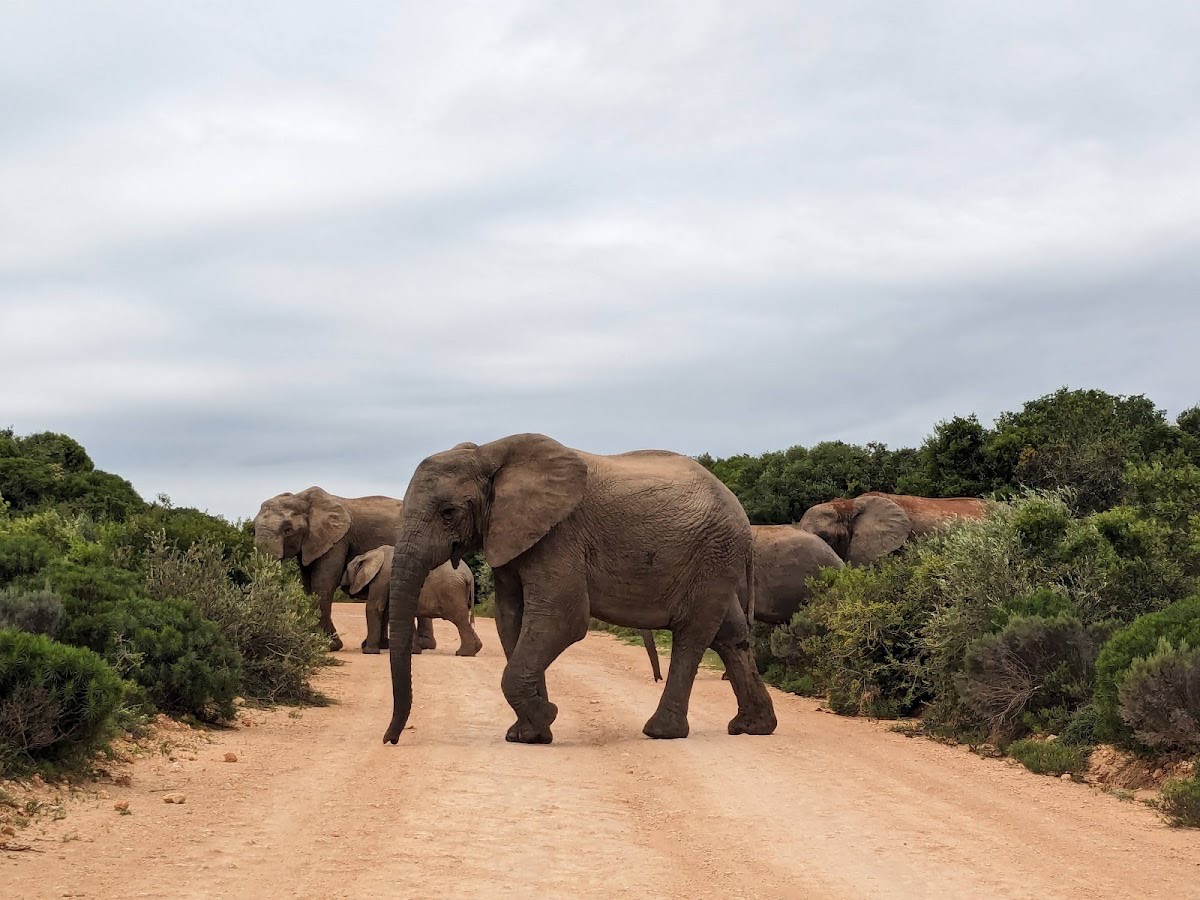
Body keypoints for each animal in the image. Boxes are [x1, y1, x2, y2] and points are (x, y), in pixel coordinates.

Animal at [252, 487, 436, 652]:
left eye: (288, 530)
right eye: (253, 528)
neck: (302, 498)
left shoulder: (337, 541)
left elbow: (323, 585)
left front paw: (328, 646)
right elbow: (309, 586)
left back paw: (422, 646)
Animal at [341, 546, 483, 657]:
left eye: (347, 569)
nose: (342, 584)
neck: (372, 553)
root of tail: (469, 575)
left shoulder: (382, 576)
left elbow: (375, 607)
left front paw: (369, 651)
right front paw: (412, 651)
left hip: (451, 590)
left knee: (459, 618)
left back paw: (464, 653)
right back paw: (475, 649)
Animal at [381, 433, 777, 746]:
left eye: (448, 512)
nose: (391, 740)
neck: (489, 453)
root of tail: (742, 516)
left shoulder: (560, 535)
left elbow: (562, 619)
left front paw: (545, 718)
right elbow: (511, 621)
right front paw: (529, 733)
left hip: (712, 555)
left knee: (692, 635)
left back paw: (661, 732)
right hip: (716, 561)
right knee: (731, 634)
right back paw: (753, 727)